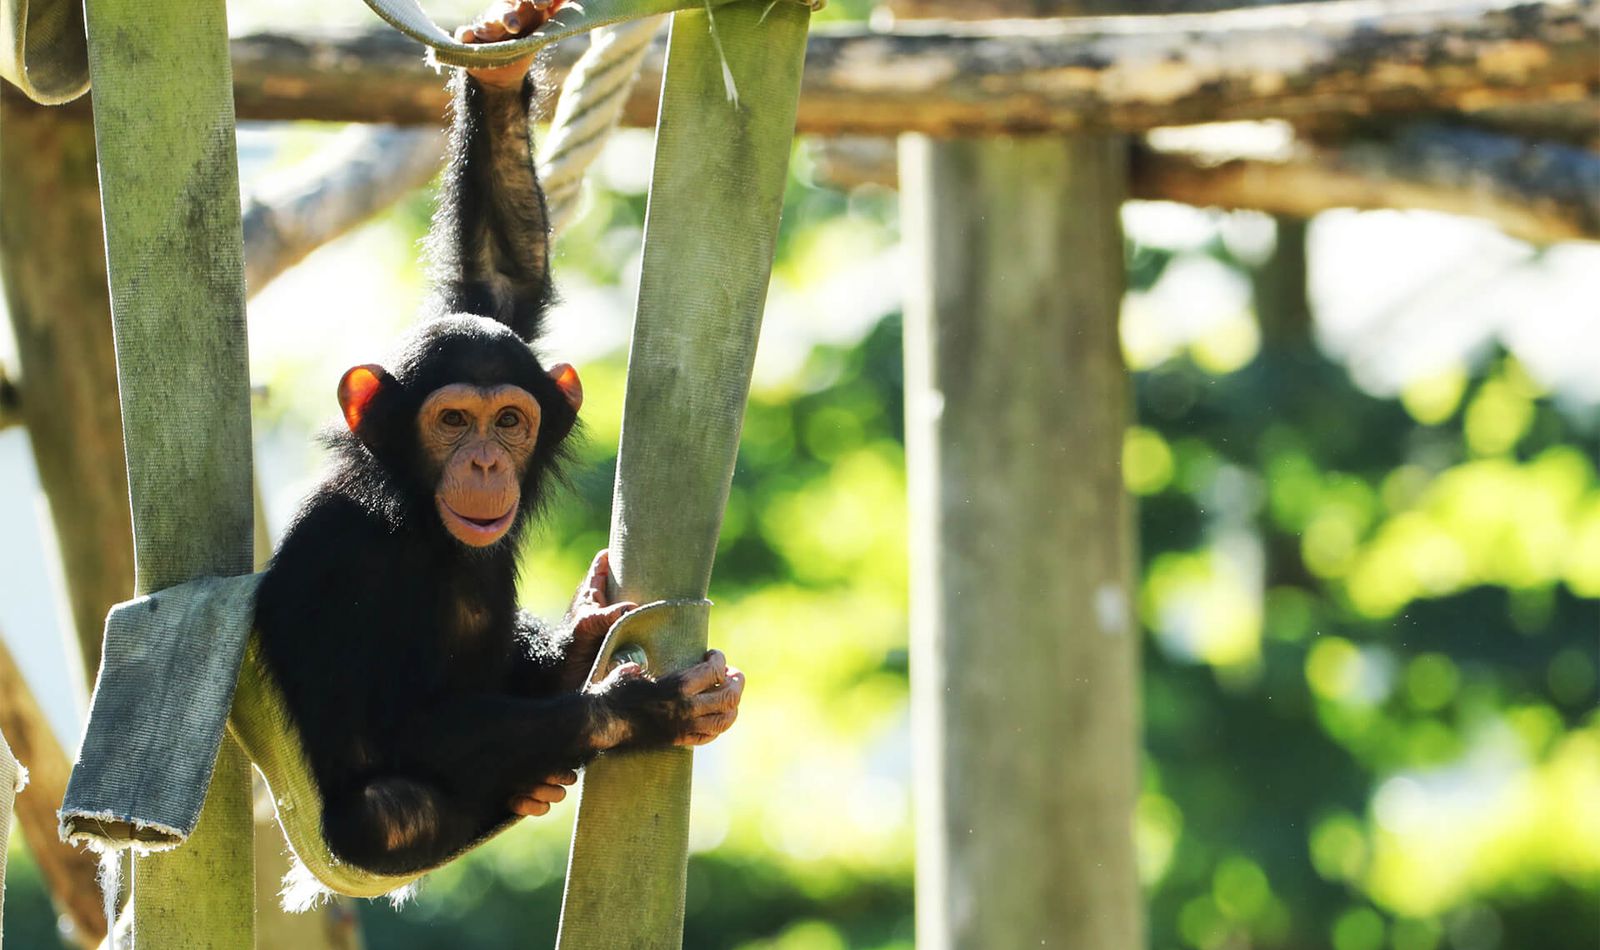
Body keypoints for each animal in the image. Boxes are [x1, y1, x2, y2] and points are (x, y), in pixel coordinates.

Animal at [252, 0, 745, 870]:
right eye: (452, 421)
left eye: (509, 421)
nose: (483, 459)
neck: (414, 515)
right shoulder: (346, 553)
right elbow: (398, 727)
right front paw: (639, 706)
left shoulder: (498, 311)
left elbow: (500, 276)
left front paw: (500, 65)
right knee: (394, 806)